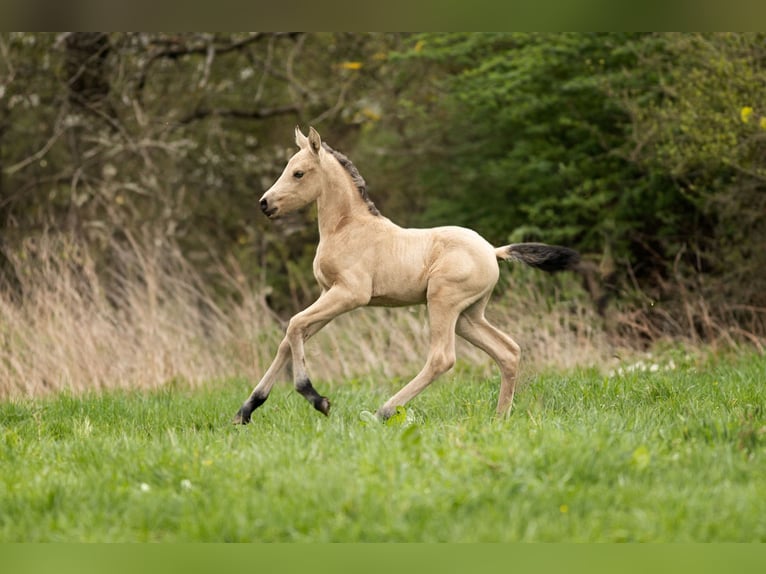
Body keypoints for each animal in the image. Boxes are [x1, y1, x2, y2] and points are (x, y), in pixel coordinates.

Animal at [234, 126, 579, 423]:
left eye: (299, 173)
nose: (265, 204)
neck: (347, 228)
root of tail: (493, 250)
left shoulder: (350, 294)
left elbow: (294, 325)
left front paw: (317, 399)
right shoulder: (329, 293)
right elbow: (291, 337)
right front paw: (247, 409)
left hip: (442, 302)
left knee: (442, 358)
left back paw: (383, 412)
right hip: (468, 316)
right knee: (508, 351)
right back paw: (499, 419)